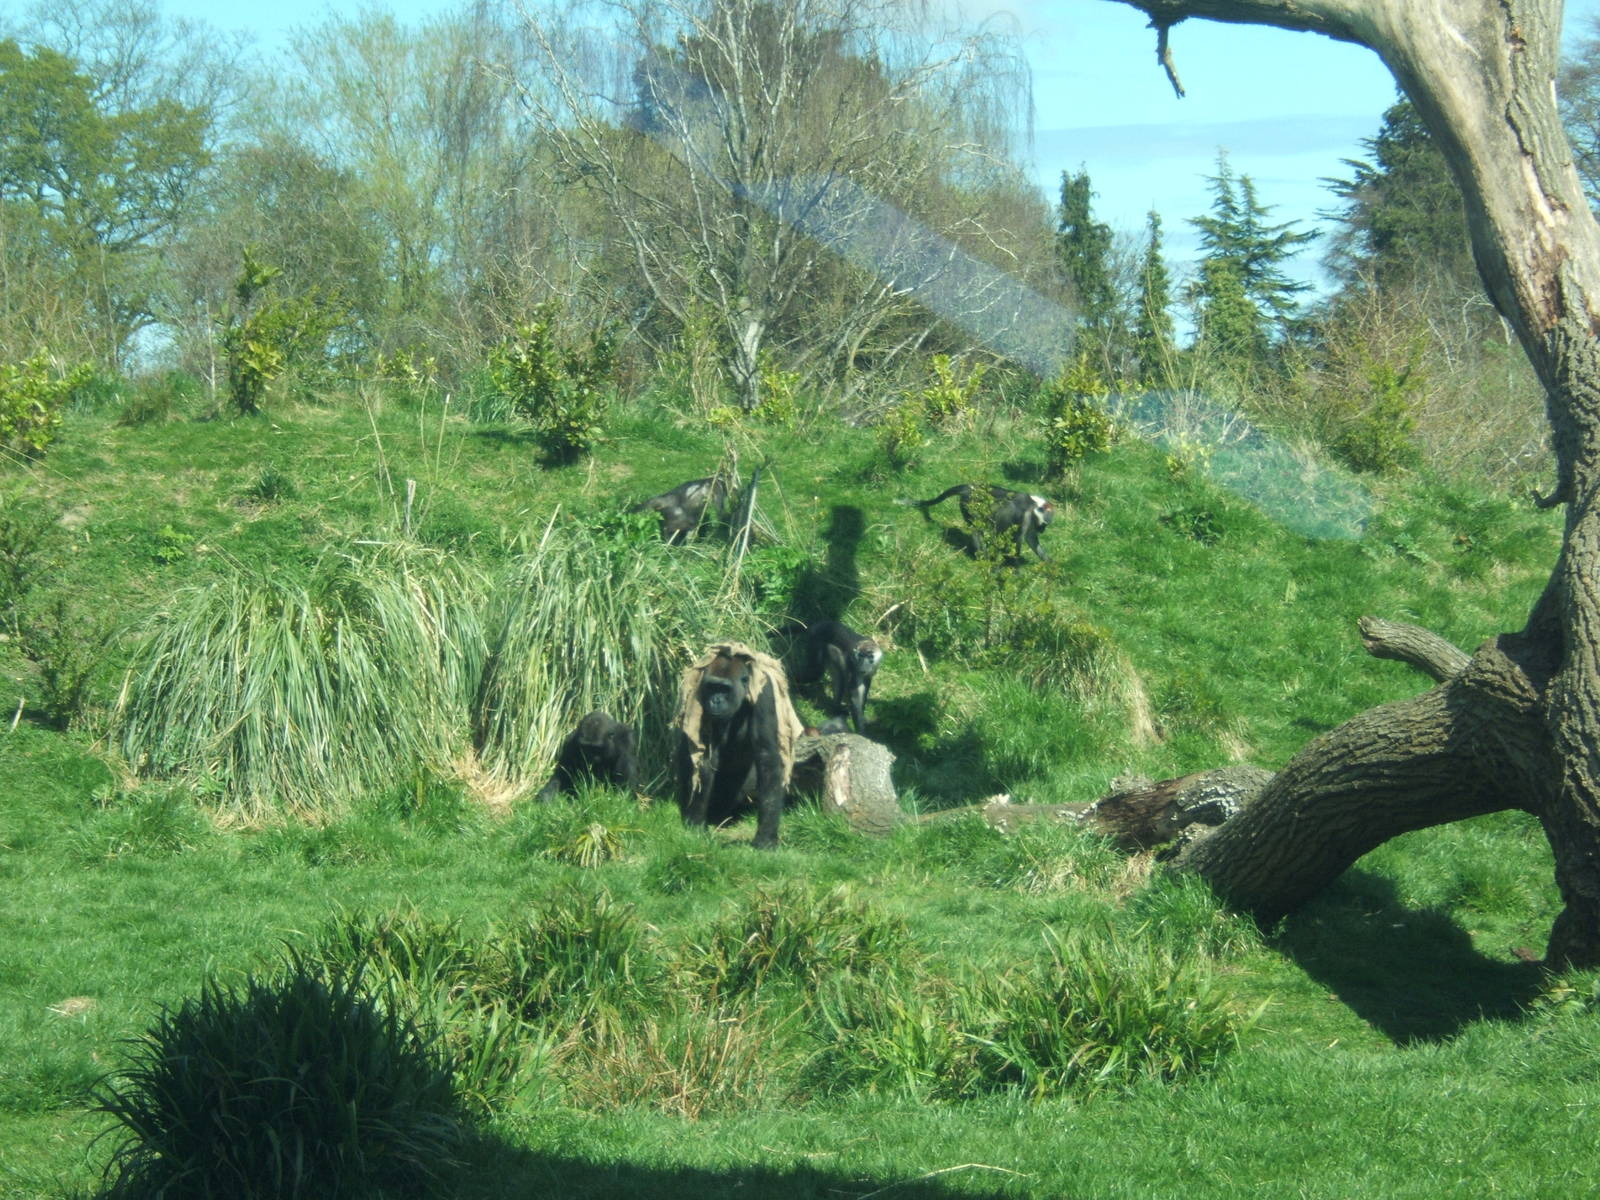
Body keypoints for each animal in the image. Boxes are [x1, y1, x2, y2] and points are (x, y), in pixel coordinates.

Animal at [675, 647, 793, 848]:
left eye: (724, 689)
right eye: (713, 687)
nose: (715, 700)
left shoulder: (764, 694)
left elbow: (767, 758)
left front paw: (766, 836)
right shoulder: (700, 690)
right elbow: (703, 759)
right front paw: (697, 824)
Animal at [906, 483, 1054, 562]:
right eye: (1044, 525)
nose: (1042, 530)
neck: (1033, 505)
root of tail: (969, 488)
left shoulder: (1031, 520)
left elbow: (1031, 539)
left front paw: (1049, 563)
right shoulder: (1023, 516)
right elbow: (1015, 541)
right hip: (969, 505)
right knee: (976, 530)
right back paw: (983, 557)